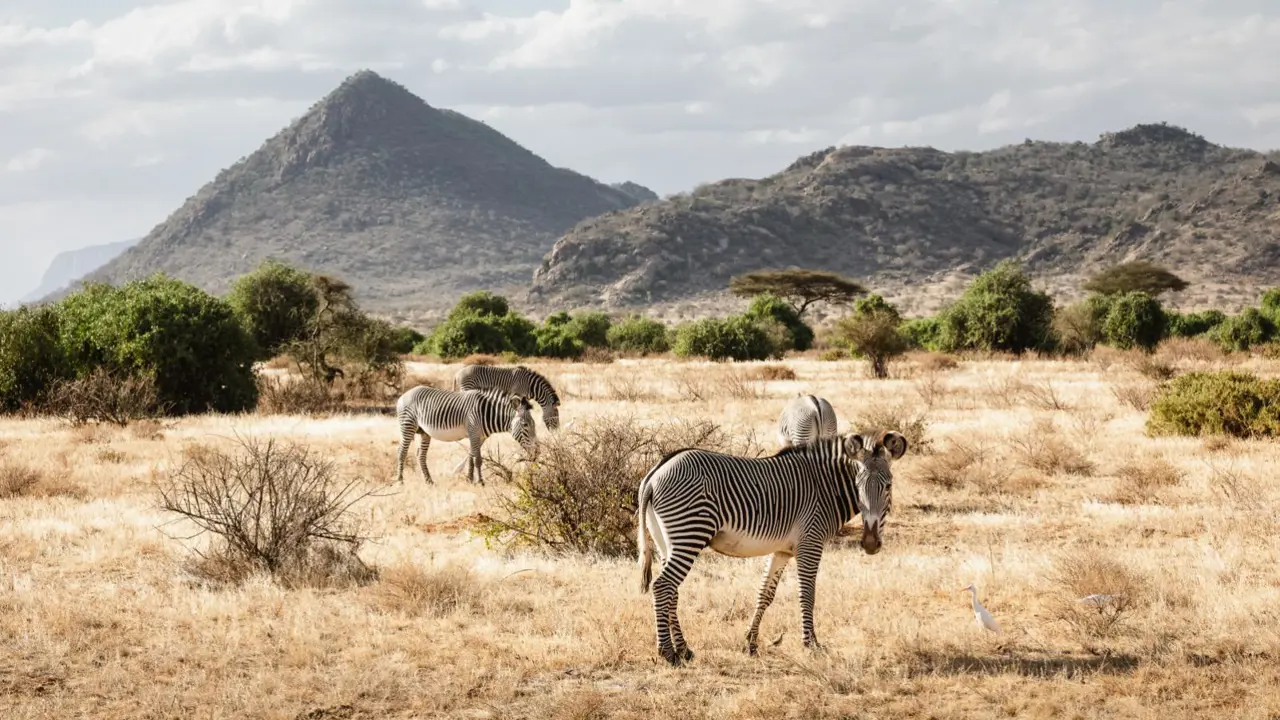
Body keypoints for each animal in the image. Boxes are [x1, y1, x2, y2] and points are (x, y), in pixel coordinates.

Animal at [394, 385, 537, 486]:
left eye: (534, 424)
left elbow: (471, 456)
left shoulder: (480, 437)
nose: (537, 453)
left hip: (423, 432)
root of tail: (404, 394)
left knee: (421, 455)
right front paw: (480, 482)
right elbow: (478, 459)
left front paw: (469, 479)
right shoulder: (474, 433)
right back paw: (400, 480)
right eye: (525, 425)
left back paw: (429, 481)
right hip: (407, 426)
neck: (487, 413)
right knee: (402, 452)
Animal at [636, 430, 908, 666]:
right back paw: (668, 653)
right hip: (689, 533)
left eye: (888, 485)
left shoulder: (783, 550)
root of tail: (655, 473)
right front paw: (811, 644)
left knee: (672, 590)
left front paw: (750, 643)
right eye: (858, 486)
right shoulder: (810, 542)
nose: (870, 544)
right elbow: (807, 594)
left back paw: (684, 650)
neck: (823, 486)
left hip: (666, 540)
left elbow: (765, 594)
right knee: (663, 586)